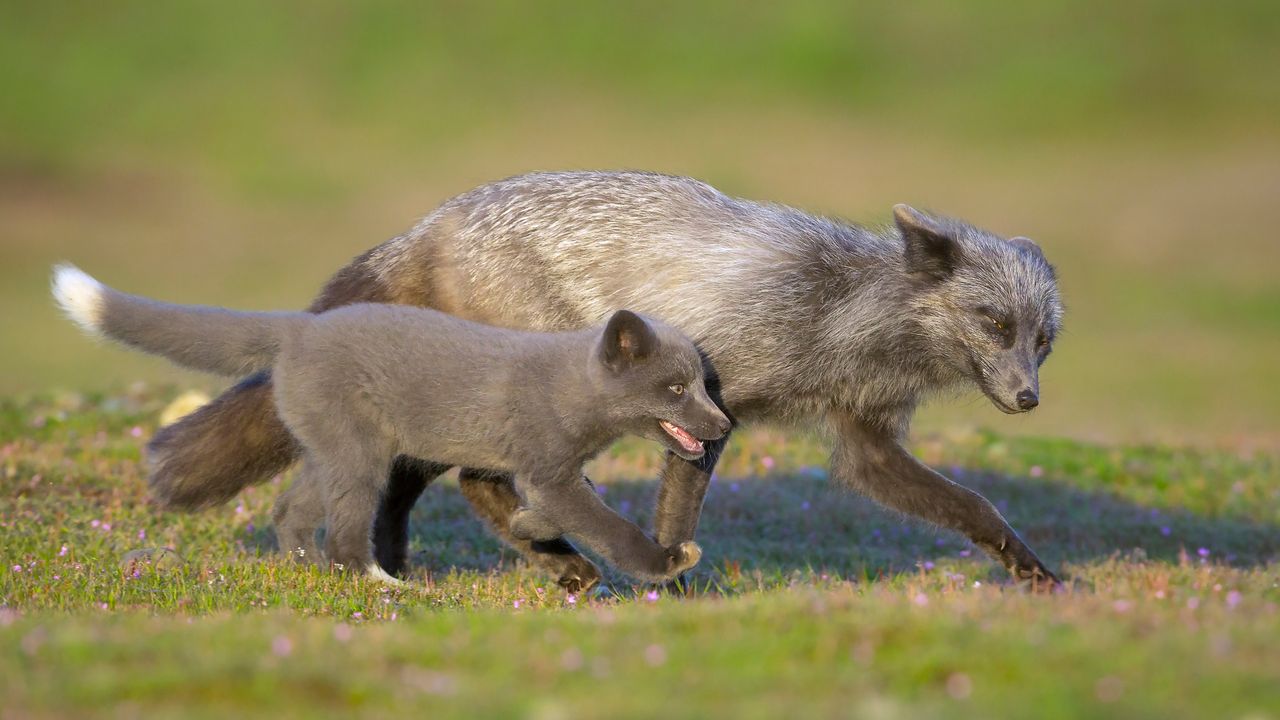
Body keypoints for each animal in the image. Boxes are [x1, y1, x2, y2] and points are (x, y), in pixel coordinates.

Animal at [52, 265, 729, 585]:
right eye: (675, 389)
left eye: (703, 382)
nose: (721, 424)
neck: (571, 387)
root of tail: (301, 328)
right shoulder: (547, 465)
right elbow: (605, 525)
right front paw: (666, 561)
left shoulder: (549, 473)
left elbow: (552, 513)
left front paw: (528, 527)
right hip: (362, 455)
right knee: (345, 532)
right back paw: (379, 582)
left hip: (328, 448)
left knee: (291, 511)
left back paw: (310, 570)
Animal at [134, 170, 1064, 589]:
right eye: (995, 326)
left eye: (1043, 341)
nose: (1028, 400)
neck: (841, 313)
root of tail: (429, 223)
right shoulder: (712, 402)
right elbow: (677, 510)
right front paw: (670, 579)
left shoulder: (863, 440)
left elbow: (976, 508)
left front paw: (1036, 575)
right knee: (475, 479)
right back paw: (553, 562)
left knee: (410, 484)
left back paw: (411, 562)